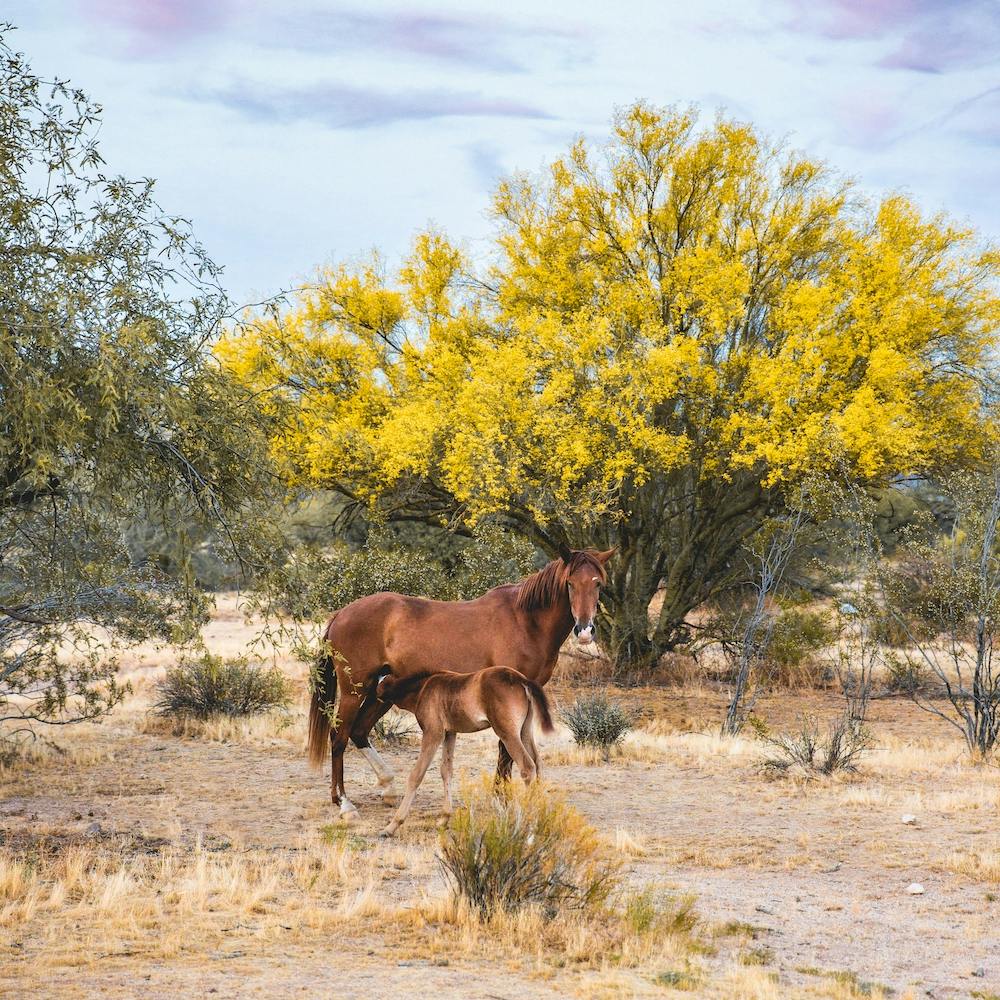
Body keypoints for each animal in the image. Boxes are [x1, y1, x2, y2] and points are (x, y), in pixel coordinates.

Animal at [306, 546, 614, 819]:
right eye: (570, 583)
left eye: (597, 584)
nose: (584, 630)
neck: (526, 622)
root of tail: (340, 614)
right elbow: (505, 751)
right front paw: (500, 799)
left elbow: (508, 753)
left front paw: (500, 796)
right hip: (354, 691)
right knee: (339, 737)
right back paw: (345, 803)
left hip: (380, 691)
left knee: (359, 732)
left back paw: (386, 787)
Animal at [372, 665, 555, 837]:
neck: (423, 688)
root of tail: (522, 680)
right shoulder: (450, 733)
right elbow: (446, 771)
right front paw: (444, 819)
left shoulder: (433, 733)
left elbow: (416, 775)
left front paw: (392, 826)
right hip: (525, 731)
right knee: (538, 764)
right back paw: (540, 817)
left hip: (507, 733)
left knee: (528, 767)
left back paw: (529, 823)